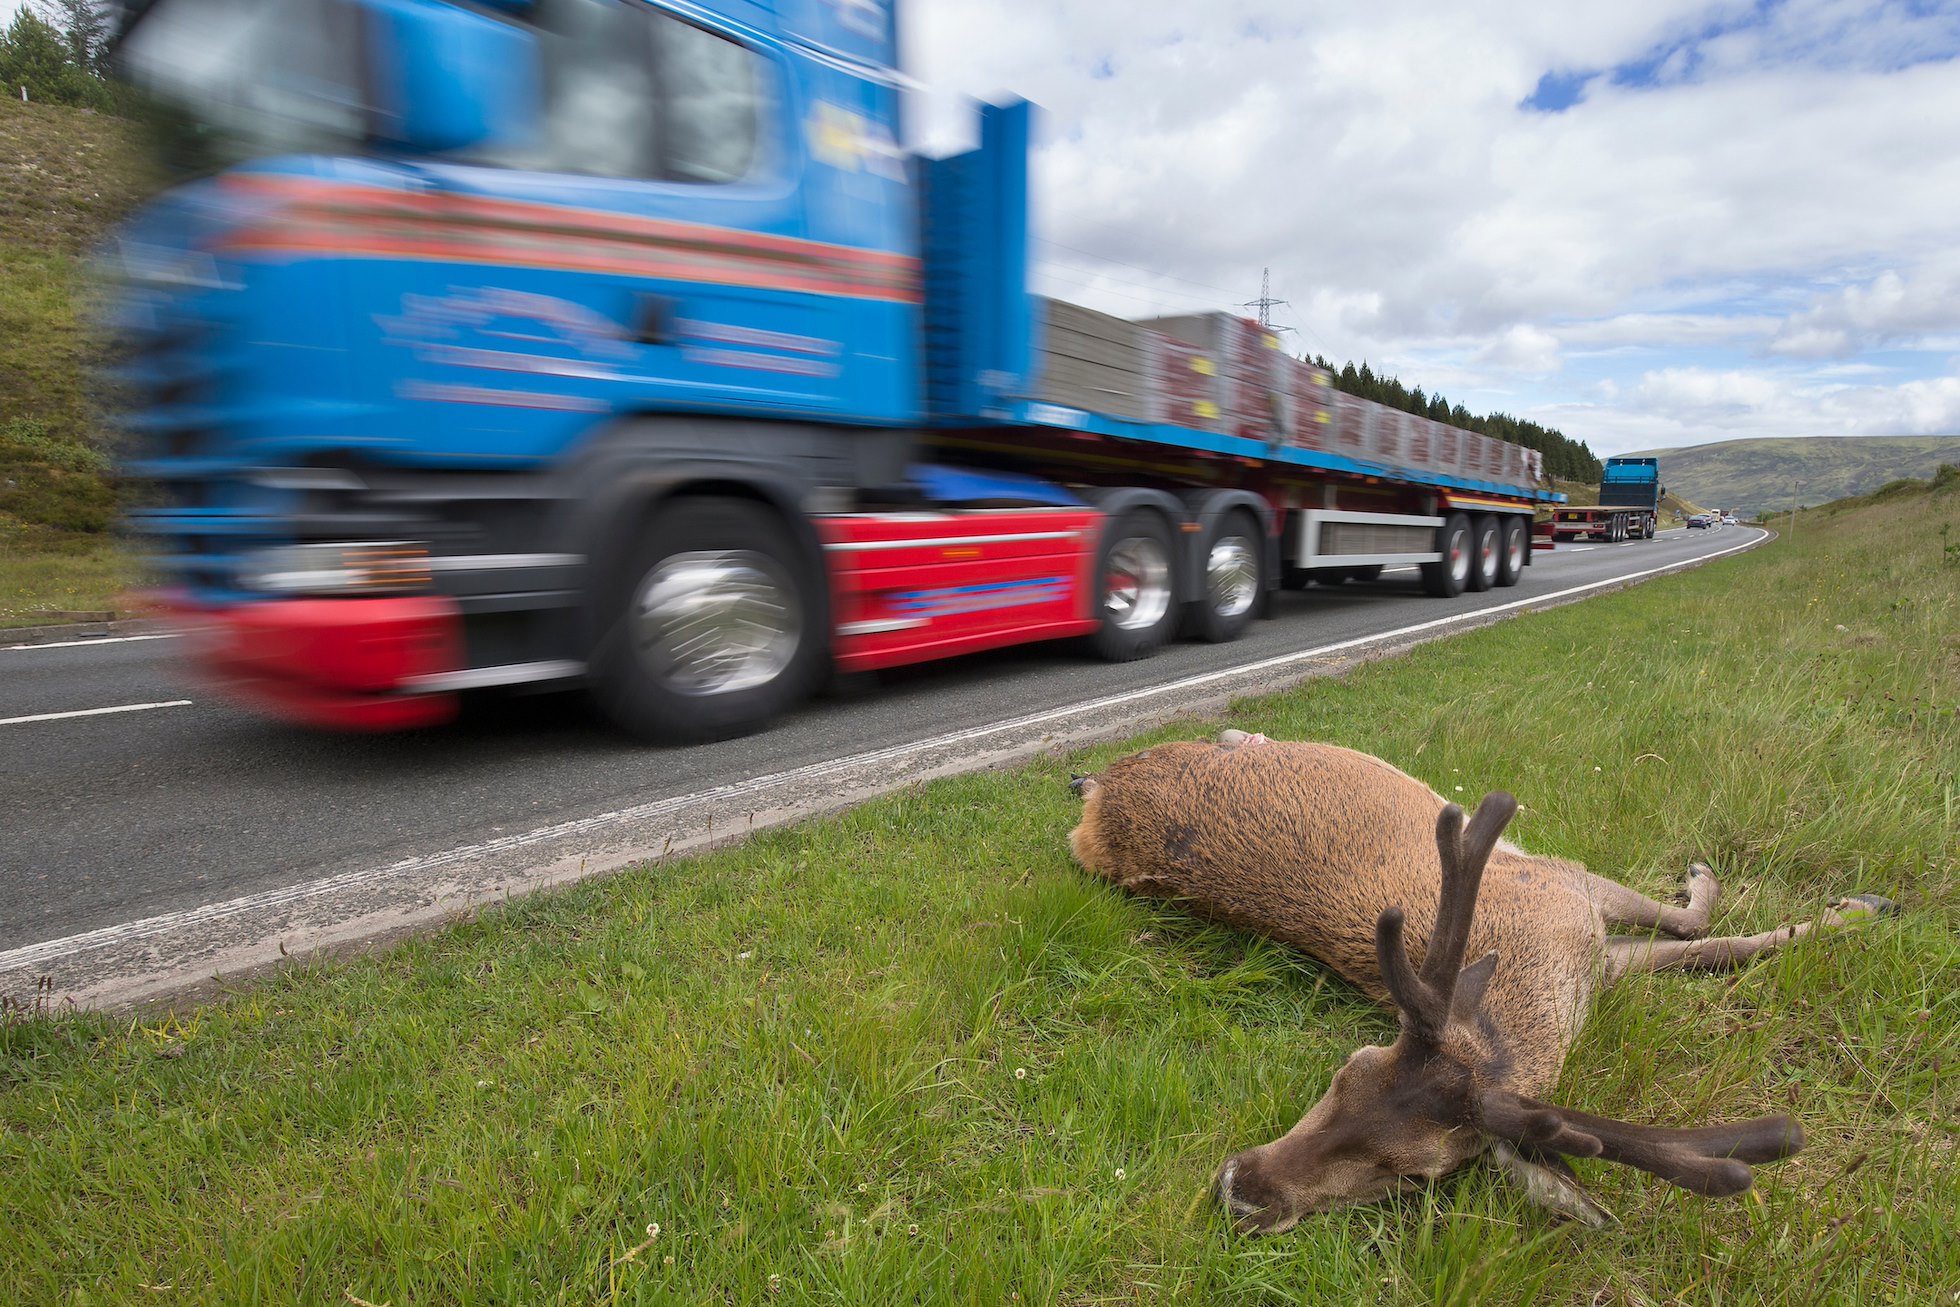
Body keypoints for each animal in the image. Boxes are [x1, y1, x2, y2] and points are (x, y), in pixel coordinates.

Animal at [1066, 732, 1889, 1230]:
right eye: (1341, 1075)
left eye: (1413, 1173)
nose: (1240, 1189)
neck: (1543, 977)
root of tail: (1098, 796)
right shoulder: (1560, 878)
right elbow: (1691, 926)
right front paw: (1852, 907)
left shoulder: (1591, 936)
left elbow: (1707, 942)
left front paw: (1855, 910)